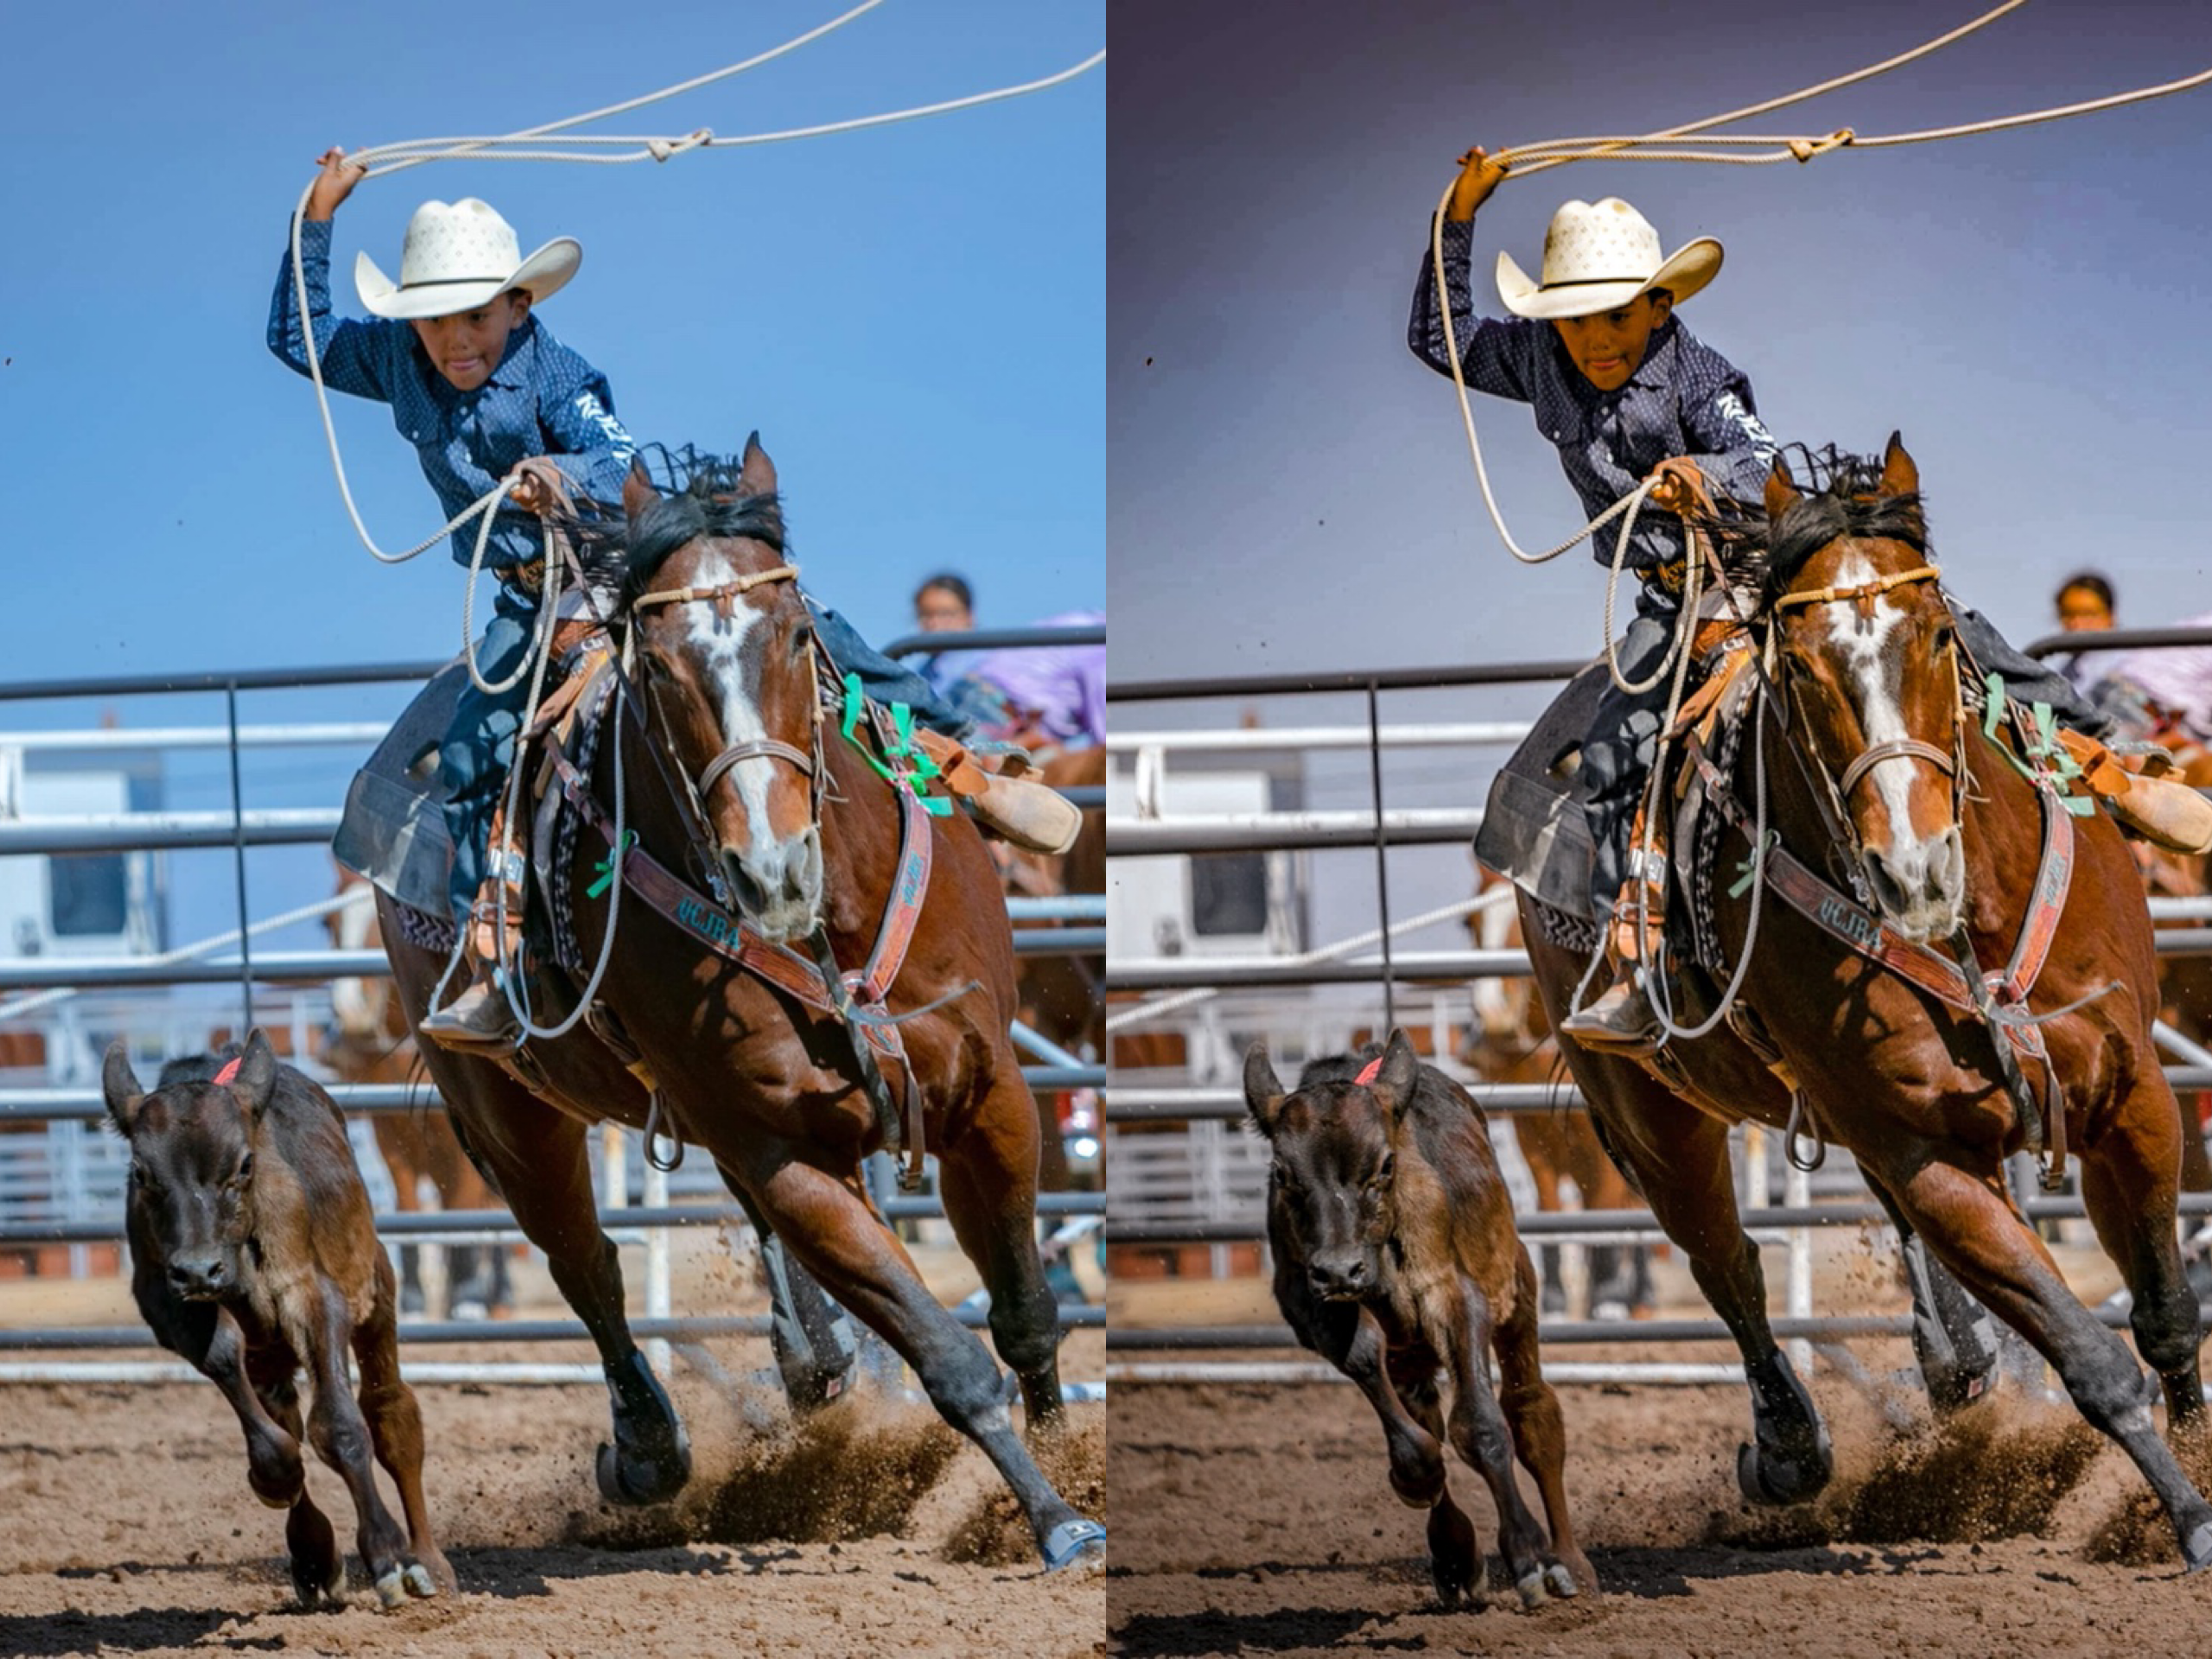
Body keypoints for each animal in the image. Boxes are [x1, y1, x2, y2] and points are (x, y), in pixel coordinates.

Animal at [324, 867, 512, 1320]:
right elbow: (408, 1206)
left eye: (375, 928)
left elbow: (463, 1209)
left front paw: (468, 1299)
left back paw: (497, 1294)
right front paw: (410, 1301)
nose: (351, 1012)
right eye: (331, 925)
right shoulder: (391, 1139)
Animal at [364, 436, 1102, 1571]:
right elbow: (948, 1355)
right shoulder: (780, 1153)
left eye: (797, 631)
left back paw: (813, 1367)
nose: (771, 868)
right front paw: (1055, 1518)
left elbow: (1023, 1310)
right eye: (659, 666)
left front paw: (1064, 1479)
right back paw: (649, 1449)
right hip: (504, 1117)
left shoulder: (993, 1094)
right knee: (586, 1266)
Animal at [1511, 436, 2212, 1565]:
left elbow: (2163, 1312)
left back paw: (1954, 1360)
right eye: (1798, 665)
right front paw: (2188, 1519)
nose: (1911, 869)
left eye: (1933, 631)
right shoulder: (1926, 1158)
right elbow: (2090, 1358)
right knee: (1727, 1263)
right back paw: (1790, 1449)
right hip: (1649, 1114)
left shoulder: (2130, 1091)